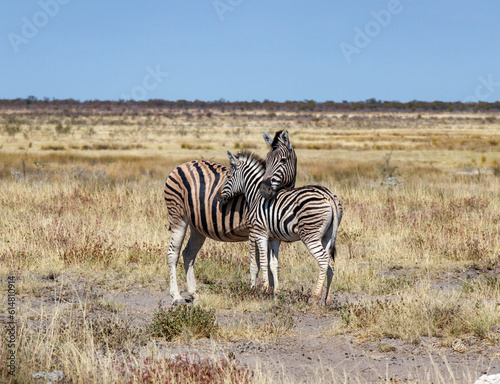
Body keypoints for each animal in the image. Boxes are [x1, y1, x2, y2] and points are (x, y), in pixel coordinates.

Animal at [164, 130, 296, 304]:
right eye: (267, 160)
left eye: (283, 160)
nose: (265, 189)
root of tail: (182, 165)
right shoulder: (253, 230)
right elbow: (256, 264)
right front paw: (254, 291)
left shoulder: (272, 234)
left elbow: (270, 263)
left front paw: (272, 293)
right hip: (178, 217)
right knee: (173, 254)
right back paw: (176, 296)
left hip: (197, 226)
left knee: (188, 253)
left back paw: (193, 293)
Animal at [219, 150, 344, 304]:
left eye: (229, 176)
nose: (220, 199)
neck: (256, 195)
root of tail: (329, 196)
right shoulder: (274, 238)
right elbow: (274, 264)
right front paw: (275, 293)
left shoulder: (260, 232)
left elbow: (262, 261)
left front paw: (263, 289)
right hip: (328, 235)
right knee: (330, 263)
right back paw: (327, 299)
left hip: (310, 235)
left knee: (323, 260)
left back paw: (315, 297)